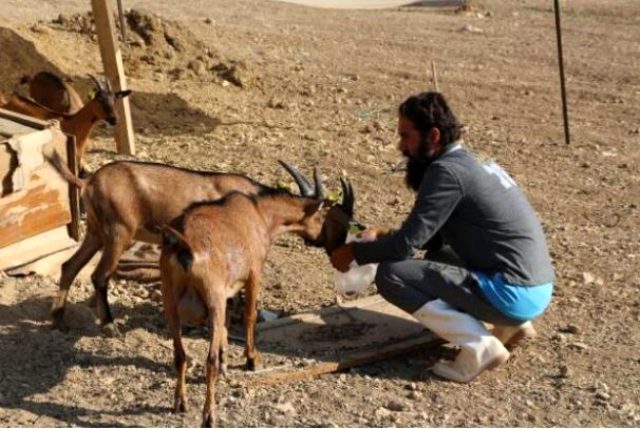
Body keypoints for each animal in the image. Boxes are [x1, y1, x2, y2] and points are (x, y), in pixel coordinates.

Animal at [46, 152, 350, 336]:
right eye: (324, 215)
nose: (323, 242)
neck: (253, 198)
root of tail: (88, 182)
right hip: (118, 233)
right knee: (99, 276)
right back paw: (109, 326)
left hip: (96, 232)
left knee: (69, 266)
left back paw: (58, 319)